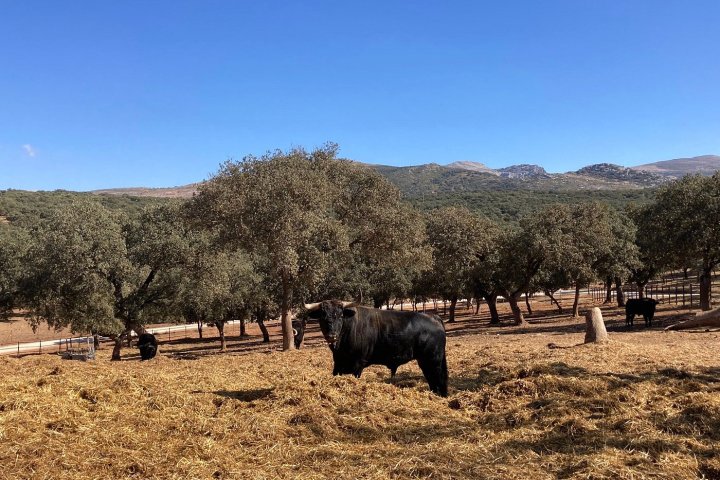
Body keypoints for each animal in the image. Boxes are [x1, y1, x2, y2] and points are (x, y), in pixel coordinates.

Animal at [304, 300, 448, 397]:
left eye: (340, 316)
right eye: (322, 316)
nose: (332, 335)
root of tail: (433, 317)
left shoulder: (358, 364)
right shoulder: (338, 364)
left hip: (433, 360)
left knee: (439, 378)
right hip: (426, 361)